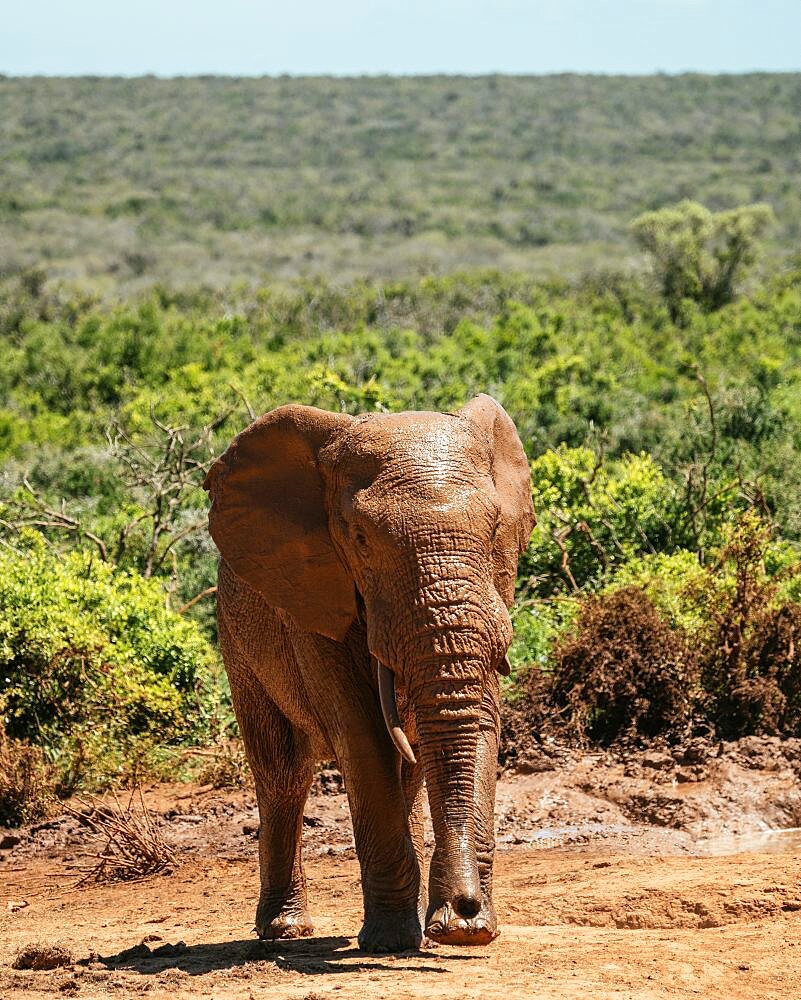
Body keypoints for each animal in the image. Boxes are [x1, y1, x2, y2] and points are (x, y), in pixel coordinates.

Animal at [203, 392, 536, 952]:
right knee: (283, 771)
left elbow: (473, 722)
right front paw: (391, 942)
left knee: (407, 770)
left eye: (494, 531)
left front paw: (459, 931)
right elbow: (362, 736)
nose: (466, 910)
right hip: (237, 635)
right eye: (360, 540)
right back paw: (285, 931)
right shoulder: (312, 597)